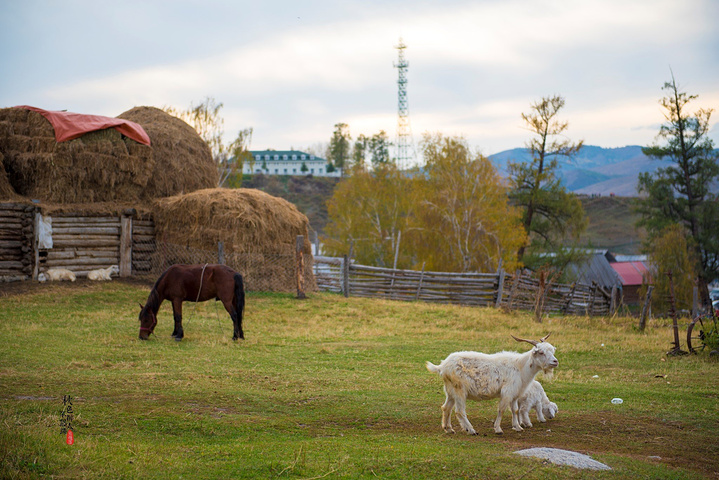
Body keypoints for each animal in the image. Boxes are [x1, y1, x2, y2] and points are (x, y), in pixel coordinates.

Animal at [424, 334, 560, 436]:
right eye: (541, 352)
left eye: (552, 350)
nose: (555, 361)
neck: (520, 367)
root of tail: (442, 366)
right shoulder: (507, 392)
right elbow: (501, 410)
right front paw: (498, 429)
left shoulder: (515, 394)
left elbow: (515, 410)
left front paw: (517, 427)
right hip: (459, 390)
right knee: (459, 411)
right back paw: (471, 430)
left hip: (450, 390)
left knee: (446, 408)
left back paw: (448, 429)